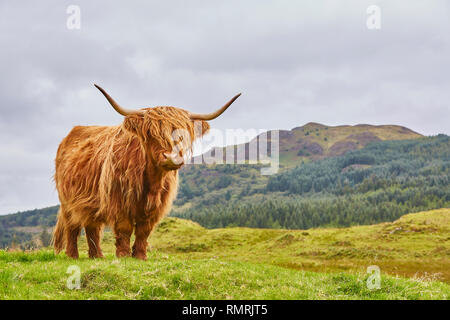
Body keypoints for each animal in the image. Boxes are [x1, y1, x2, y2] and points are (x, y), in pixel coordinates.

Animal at [52, 85, 241, 260]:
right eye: (151, 133)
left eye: (183, 135)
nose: (171, 157)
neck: (152, 182)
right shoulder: (119, 201)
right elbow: (124, 228)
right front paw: (123, 256)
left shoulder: (156, 207)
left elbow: (144, 231)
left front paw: (140, 256)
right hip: (68, 202)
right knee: (72, 227)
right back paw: (73, 255)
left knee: (92, 228)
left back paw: (97, 256)